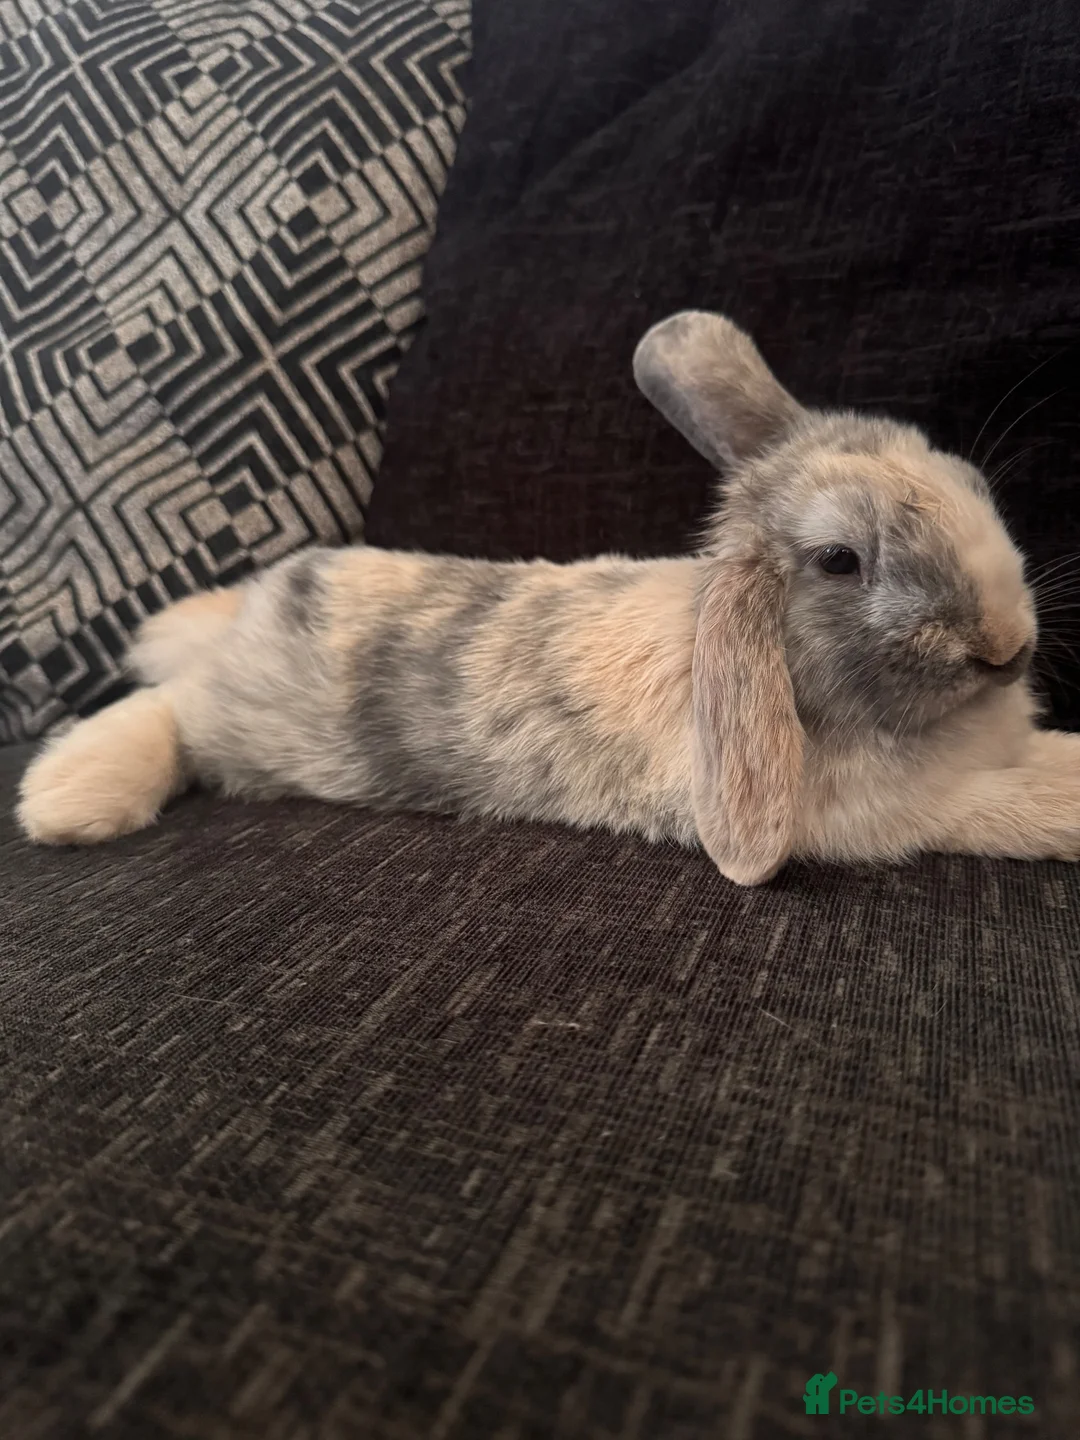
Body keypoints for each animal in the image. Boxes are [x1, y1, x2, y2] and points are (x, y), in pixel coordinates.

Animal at [16, 311, 1080, 885]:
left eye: (967, 481)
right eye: (839, 561)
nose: (1007, 647)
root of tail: (254, 605)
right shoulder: (909, 811)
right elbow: (1010, 801)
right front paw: (1066, 790)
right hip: (245, 724)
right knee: (170, 707)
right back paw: (68, 800)